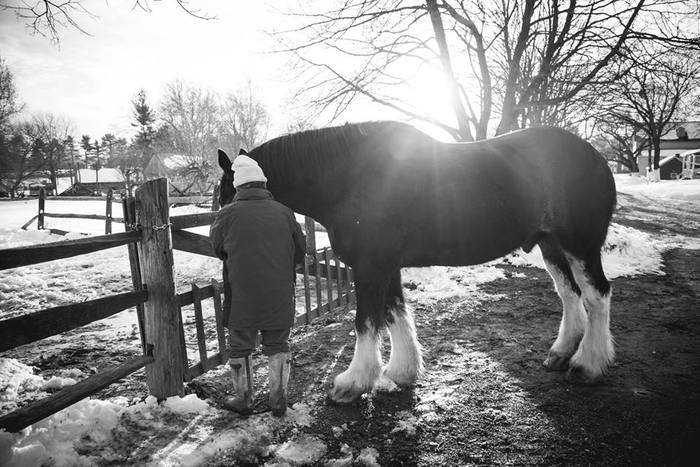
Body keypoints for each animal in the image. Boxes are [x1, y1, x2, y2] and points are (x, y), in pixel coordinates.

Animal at [216, 120, 616, 402]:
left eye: (223, 195)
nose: (221, 250)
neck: (348, 178)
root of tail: (597, 157)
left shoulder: (370, 267)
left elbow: (366, 322)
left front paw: (352, 383)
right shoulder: (386, 266)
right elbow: (396, 313)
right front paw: (402, 372)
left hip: (580, 245)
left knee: (597, 295)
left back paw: (588, 365)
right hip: (551, 246)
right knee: (569, 295)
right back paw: (561, 353)